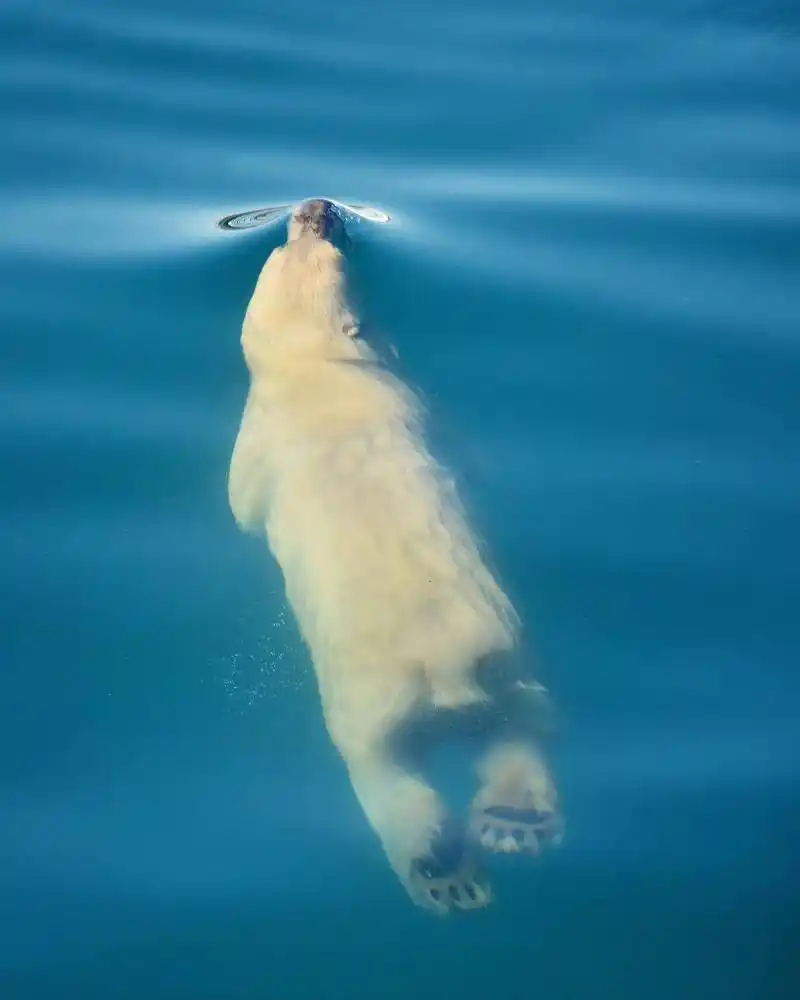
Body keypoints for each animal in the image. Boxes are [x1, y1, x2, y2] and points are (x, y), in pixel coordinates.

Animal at [228, 198, 563, 914]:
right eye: (297, 239)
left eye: (322, 242)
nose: (317, 207)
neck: (322, 371)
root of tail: (448, 670)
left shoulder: (267, 431)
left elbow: (240, 506)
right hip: (505, 661)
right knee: (522, 723)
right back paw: (514, 823)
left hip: (373, 691)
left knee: (379, 765)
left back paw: (445, 867)